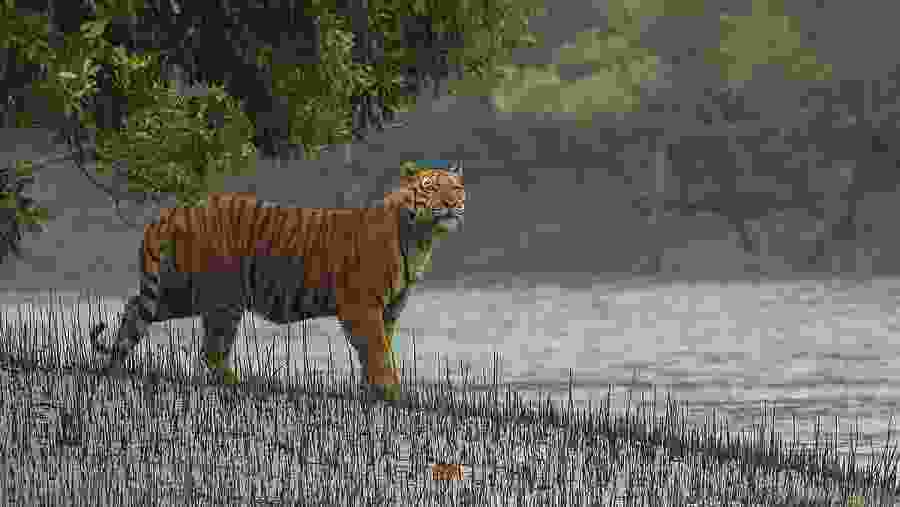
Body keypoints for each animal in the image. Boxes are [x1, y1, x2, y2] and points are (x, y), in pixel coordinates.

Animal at [88, 160, 465, 402]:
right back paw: (243, 385)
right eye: (431, 187)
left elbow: (378, 350)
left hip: (180, 290)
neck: (422, 238)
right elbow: (376, 352)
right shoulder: (361, 305)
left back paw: (115, 367)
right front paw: (391, 393)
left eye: (456, 188)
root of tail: (174, 211)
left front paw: (371, 391)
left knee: (135, 308)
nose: (452, 203)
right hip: (222, 297)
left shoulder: (388, 310)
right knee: (211, 348)